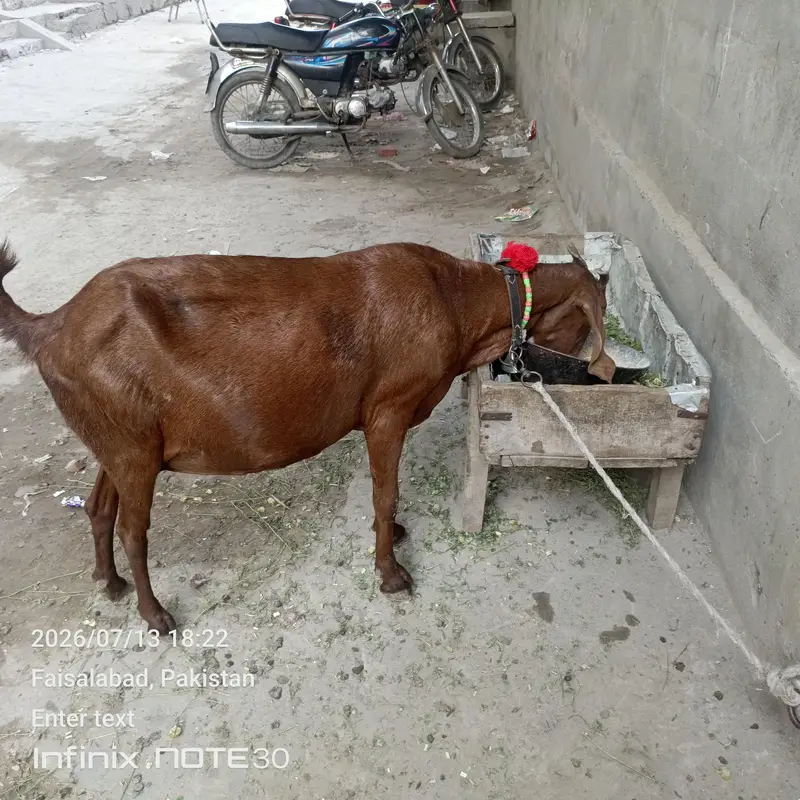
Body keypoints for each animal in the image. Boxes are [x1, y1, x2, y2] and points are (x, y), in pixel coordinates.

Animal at [0, 240, 612, 633]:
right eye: (588, 320)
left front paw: (395, 534)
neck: (455, 303)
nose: (582, 376)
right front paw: (392, 573)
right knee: (133, 528)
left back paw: (109, 585)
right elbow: (385, 490)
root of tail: (51, 326)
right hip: (131, 447)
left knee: (98, 507)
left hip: (120, 439)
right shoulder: (388, 409)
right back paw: (156, 616)